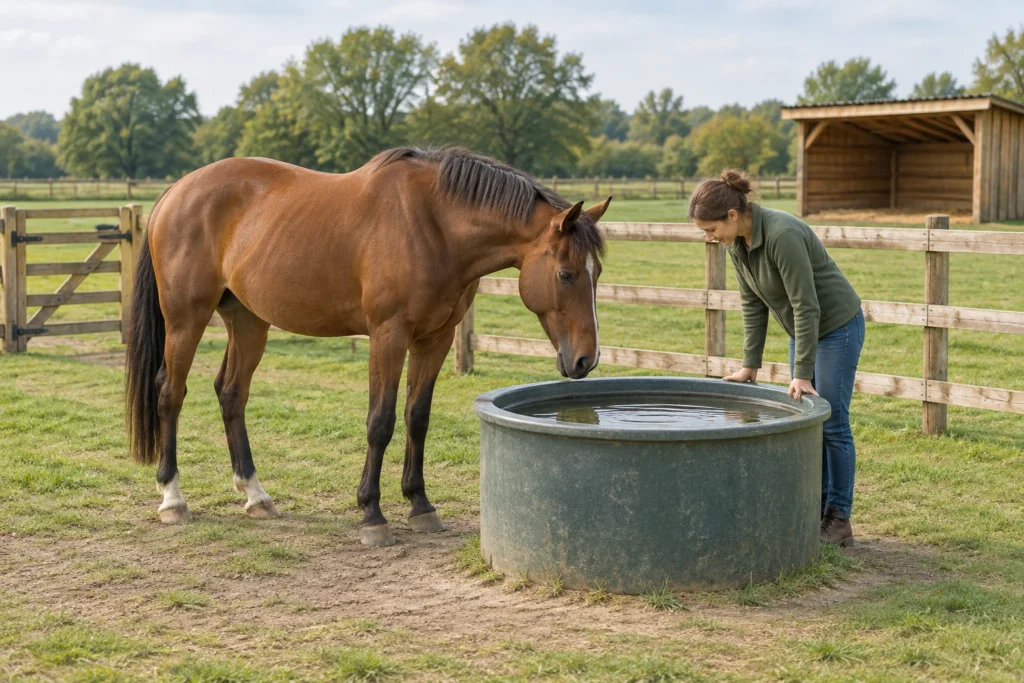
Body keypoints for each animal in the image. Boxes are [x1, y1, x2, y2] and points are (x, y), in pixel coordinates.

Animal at [125, 147, 611, 546]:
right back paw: (172, 498)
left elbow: (417, 417)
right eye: (566, 274)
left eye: (598, 272)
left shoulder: (435, 339)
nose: (585, 360)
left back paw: (256, 495)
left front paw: (420, 505)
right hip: (186, 319)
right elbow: (381, 421)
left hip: (248, 321)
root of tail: (176, 191)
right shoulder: (388, 335)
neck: (434, 225)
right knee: (170, 393)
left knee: (231, 394)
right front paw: (372, 514)